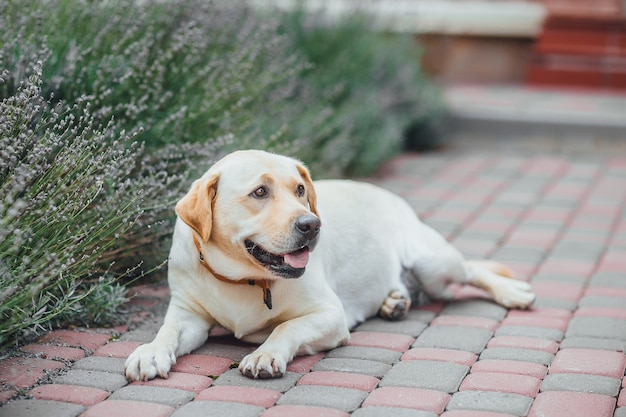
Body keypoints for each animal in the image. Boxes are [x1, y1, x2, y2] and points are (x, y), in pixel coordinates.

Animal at [124, 150, 532, 380]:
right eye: (260, 192)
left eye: (301, 190)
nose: (311, 224)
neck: (247, 280)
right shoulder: (186, 313)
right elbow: (167, 332)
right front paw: (149, 352)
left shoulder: (330, 314)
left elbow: (284, 328)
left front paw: (265, 352)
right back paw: (394, 300)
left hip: (433, 261)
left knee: (472, 271)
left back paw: (513, 292)